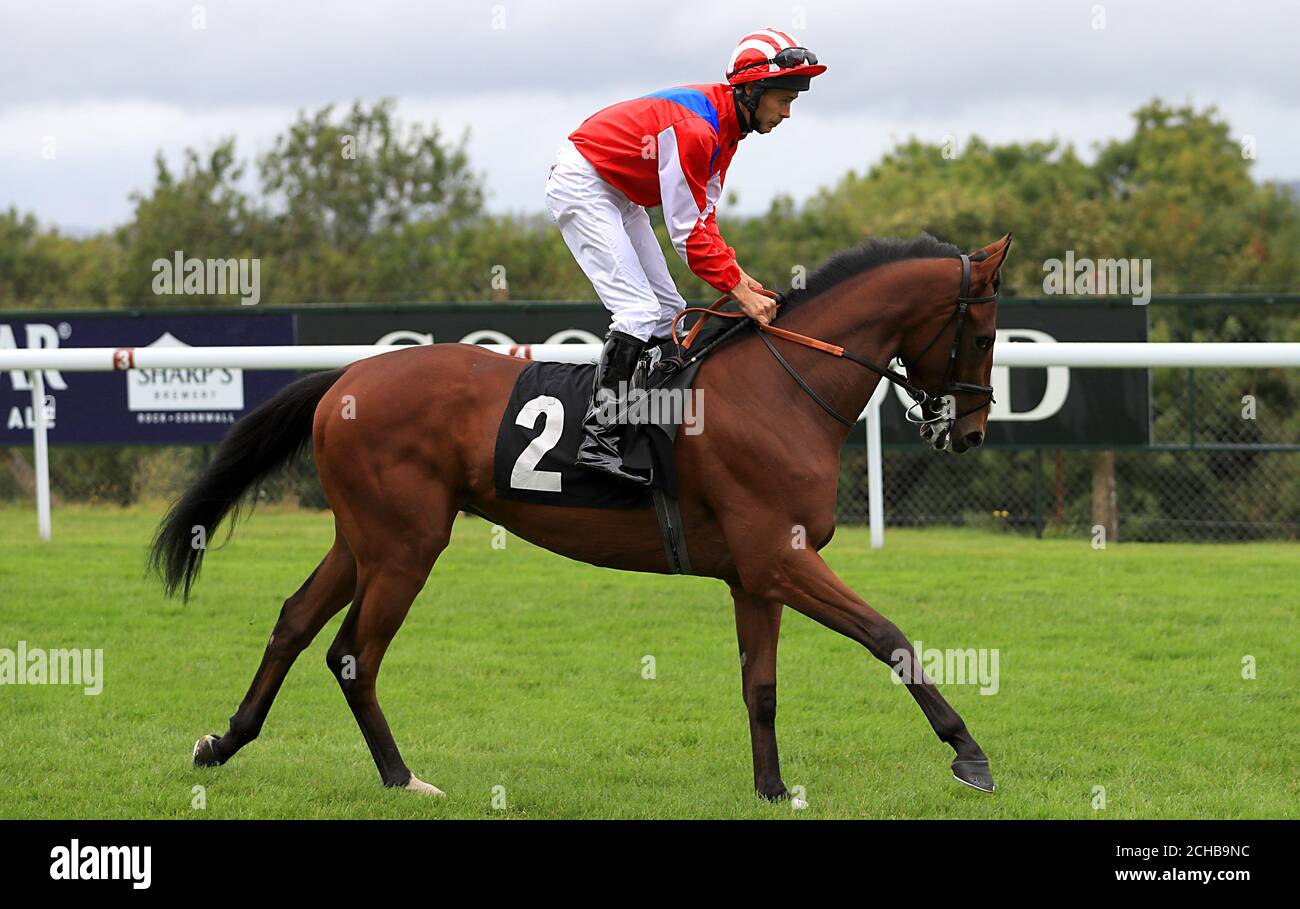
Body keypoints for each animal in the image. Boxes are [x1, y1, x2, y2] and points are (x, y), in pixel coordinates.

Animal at [152, 231, 1013, 801]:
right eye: (982, 332)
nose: (971, 431)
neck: (781, 387)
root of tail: (346, 378)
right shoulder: (780, 556)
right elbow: (887, 634)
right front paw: (969, 752)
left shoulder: (755, 573)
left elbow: (761, 686)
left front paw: (771, 788)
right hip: (405, 546)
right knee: (352, 653)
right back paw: (402, 777)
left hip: (361, 538)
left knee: (295, 622)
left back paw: (225, 741)